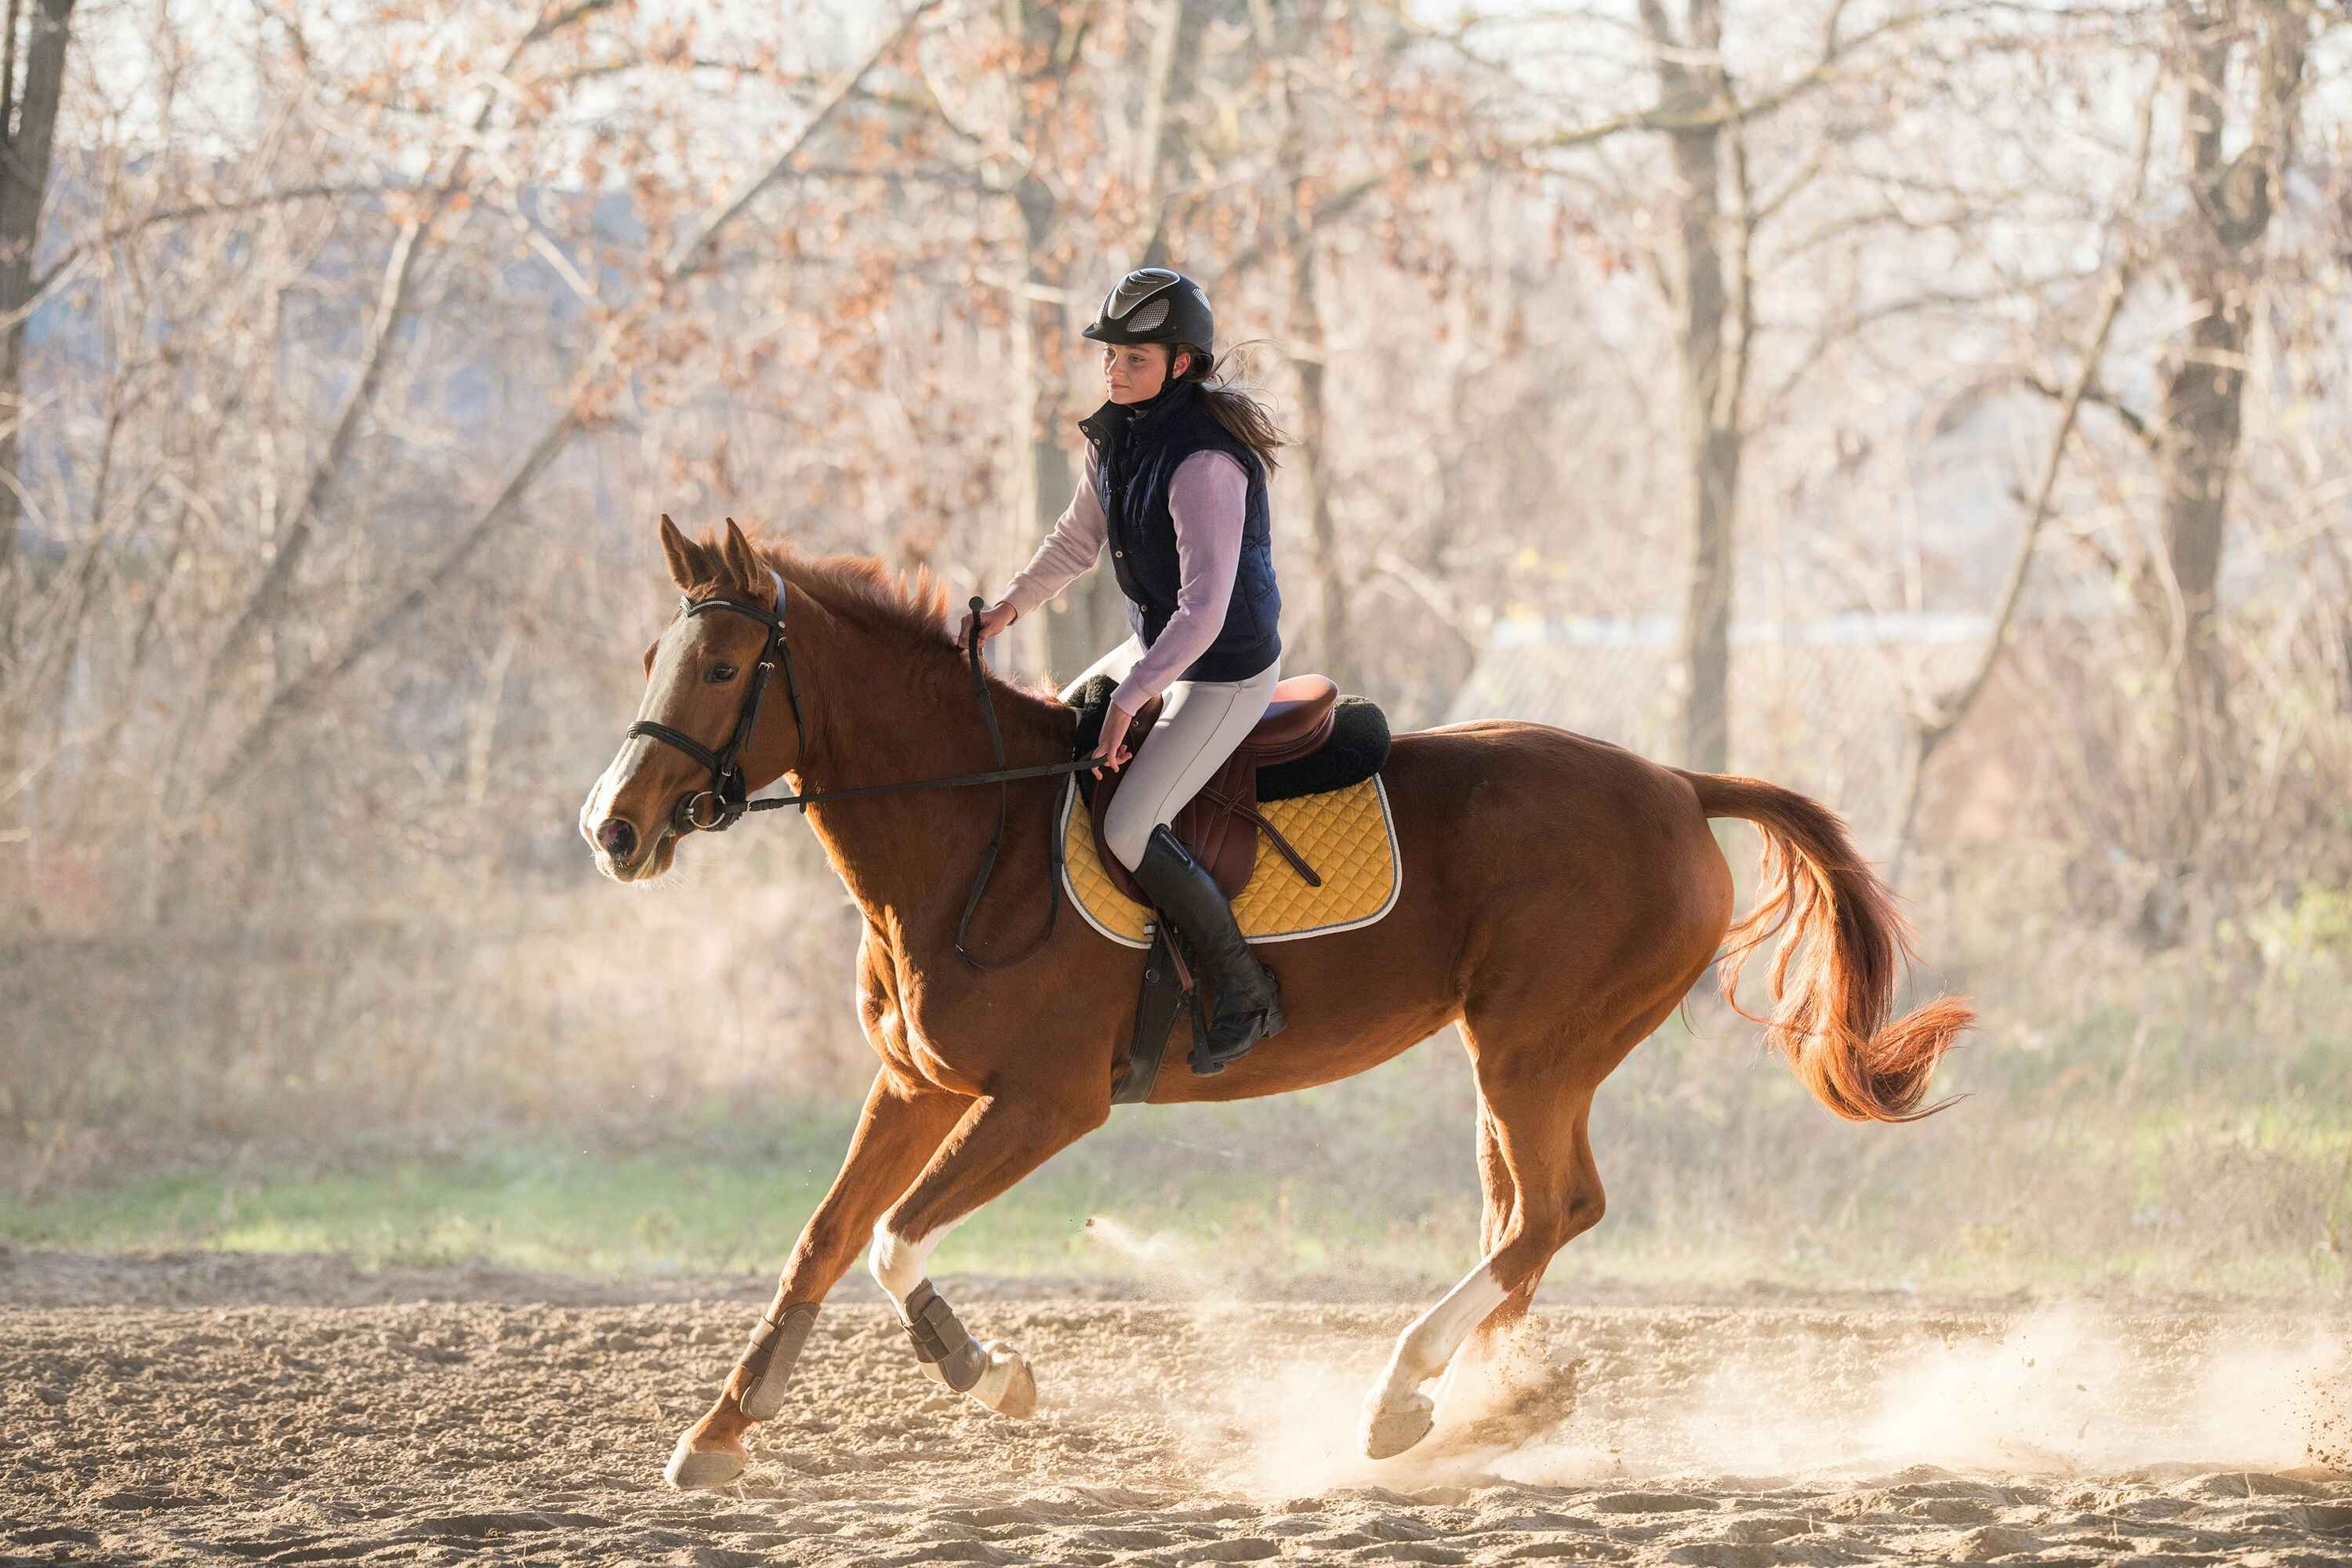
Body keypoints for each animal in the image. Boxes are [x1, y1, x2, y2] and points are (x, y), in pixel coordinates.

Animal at [578, 516, 1972, 1490]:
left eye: (721, 666)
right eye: (651, 658)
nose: (613, 830)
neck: (972, 827)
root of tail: (1680, 786)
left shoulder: (1044, 1105)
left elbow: (891, 1239)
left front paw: (989, 1374)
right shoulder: (918, 1084)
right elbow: (821, 1241)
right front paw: (719, 1436)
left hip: (1538, 1049)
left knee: (1551, 1212)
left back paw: (1402, 1397)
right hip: (1519, 1059)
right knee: (1522, 1224)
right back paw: (1479, 1412)